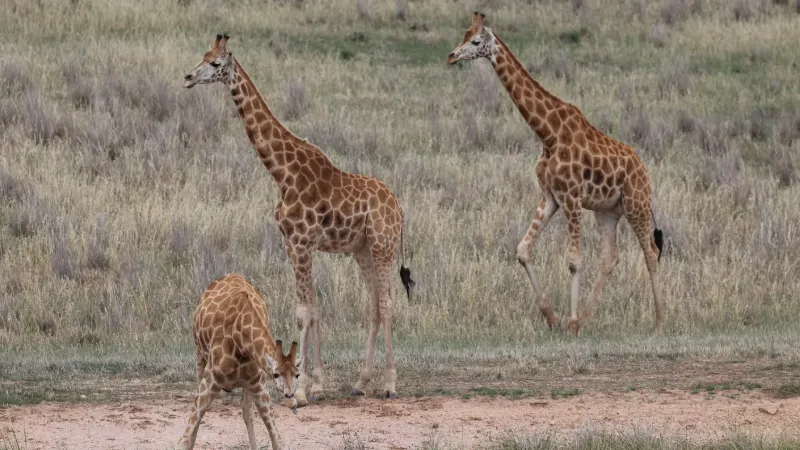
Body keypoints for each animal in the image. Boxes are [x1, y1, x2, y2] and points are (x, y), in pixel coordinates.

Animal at [178, 273, 302, 450]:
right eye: (276, 374)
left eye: (297, 374)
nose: (290, 394)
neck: (240, 339)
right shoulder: (210, 380)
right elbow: (185, 439)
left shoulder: (257, 384)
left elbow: (276, 439)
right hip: (199, 357)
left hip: (246, 384)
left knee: (246, 412)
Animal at [183, 34, 415, 404]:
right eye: (203, 56)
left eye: (216, 64)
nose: (188, 77)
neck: (282, 173)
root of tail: (399, 208)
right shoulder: (292, 244)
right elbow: (310, 308)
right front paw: (315, 383)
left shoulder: (302, 242)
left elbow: (305, 313)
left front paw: (302, 389)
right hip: (362, 249)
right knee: (374, 305)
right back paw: (361, 381)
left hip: (383, 245)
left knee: (388, 303)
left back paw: (390, 385)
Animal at [447, 13, 664, 335]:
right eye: (463, 34)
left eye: (475, 41)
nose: (451, 56)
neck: (548, 134)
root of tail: (643, 170)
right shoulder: (551, 196)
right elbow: (523, 249)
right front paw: (552, 317)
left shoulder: (571, 197)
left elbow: (574, 260)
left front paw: (569, 323)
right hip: (607, 211)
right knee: (610, 257)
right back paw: (587, 317)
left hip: (636, 204)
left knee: (650, 252)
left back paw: (659, 320)